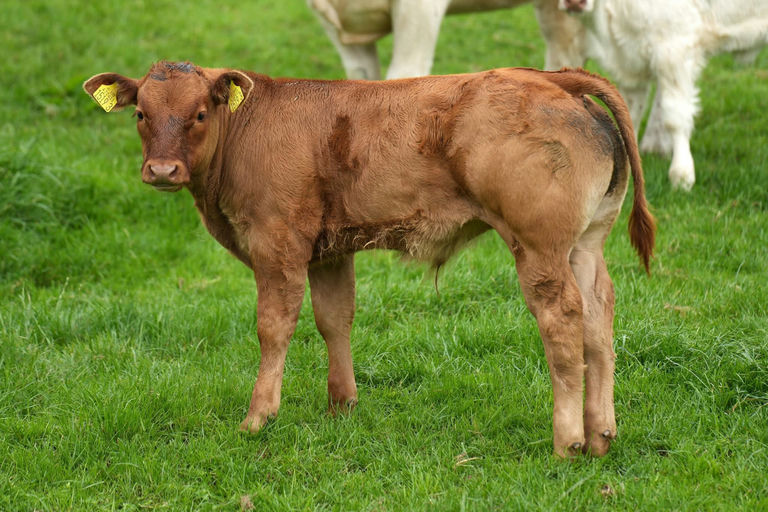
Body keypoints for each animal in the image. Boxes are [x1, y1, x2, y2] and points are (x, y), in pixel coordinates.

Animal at [84, 61, 655, 457]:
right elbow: (334, 319)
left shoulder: (278, 242)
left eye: (200, 113)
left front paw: (258, 417)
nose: (162, 170)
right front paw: (342, 405)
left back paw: (568, 442)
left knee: (562, 321)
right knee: (599, 318)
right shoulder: (329, 251)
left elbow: (274, 327)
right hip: (585, 244)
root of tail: (556, 78)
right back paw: (601, 434)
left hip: (538, 247)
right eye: (141, 114)